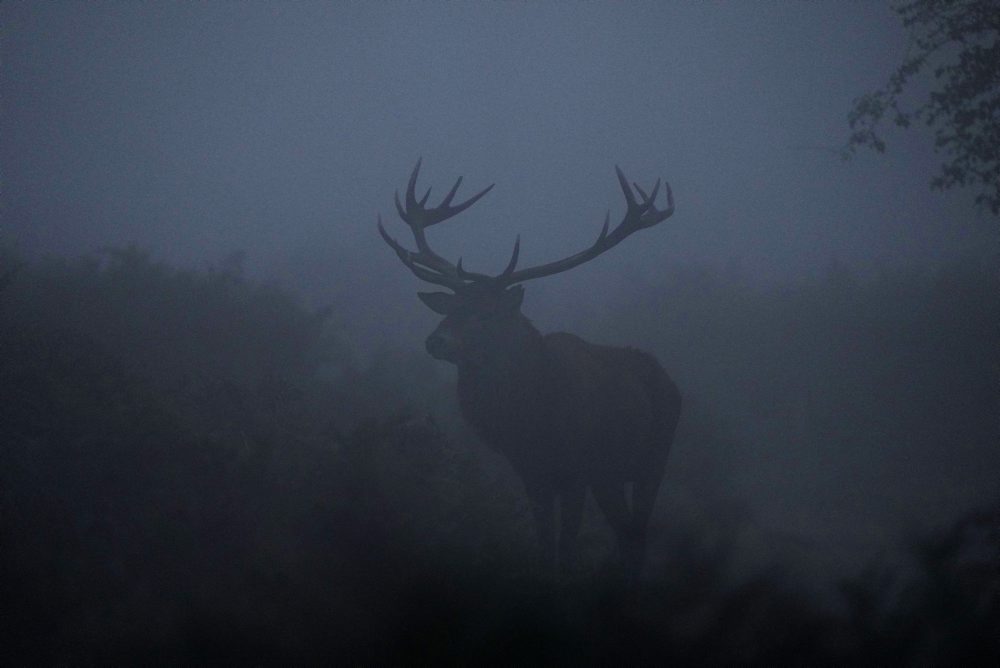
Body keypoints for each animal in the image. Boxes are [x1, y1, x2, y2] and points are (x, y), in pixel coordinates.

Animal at [378, 162, 684, 580]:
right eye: (451, 308)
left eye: (487, 314)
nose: (435, 341)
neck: (531, 421)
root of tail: (666, 379)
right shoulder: (530, 471)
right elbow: (544, 546)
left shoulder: (576, 470)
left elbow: (567, 550)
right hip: (611, 477)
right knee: (626, 535)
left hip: (653, 458)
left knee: (637, 536)